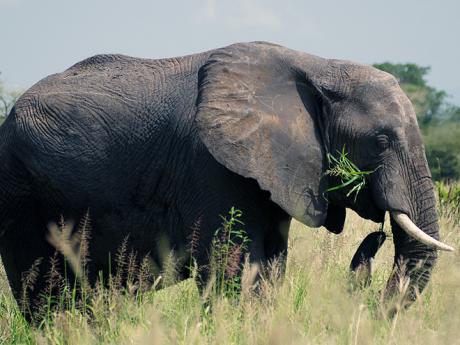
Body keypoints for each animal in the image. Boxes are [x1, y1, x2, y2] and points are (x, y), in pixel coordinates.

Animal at [0, 40, 452, 312]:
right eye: (380, 141)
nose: (377, 234)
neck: (317, 67)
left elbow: (270, 266)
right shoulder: (211, 167)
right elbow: (233, 268)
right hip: (21, 188)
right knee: (40, 291)